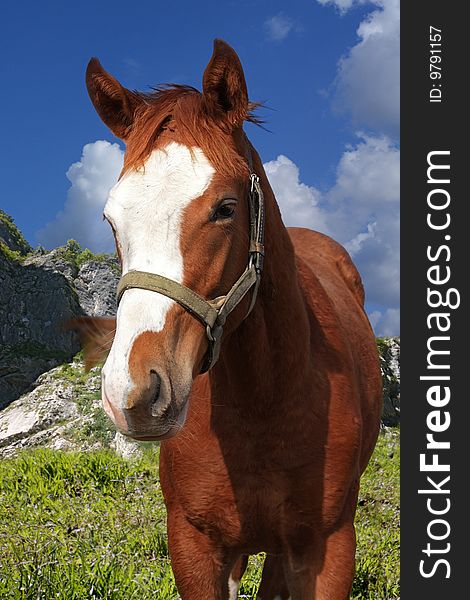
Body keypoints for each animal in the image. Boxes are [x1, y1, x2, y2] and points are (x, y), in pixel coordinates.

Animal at [72, 39, 382, 596]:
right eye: (110, 219)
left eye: (226, 207)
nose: (133, 391)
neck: (262, 401)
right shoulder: (195, 546)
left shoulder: (326, 549)